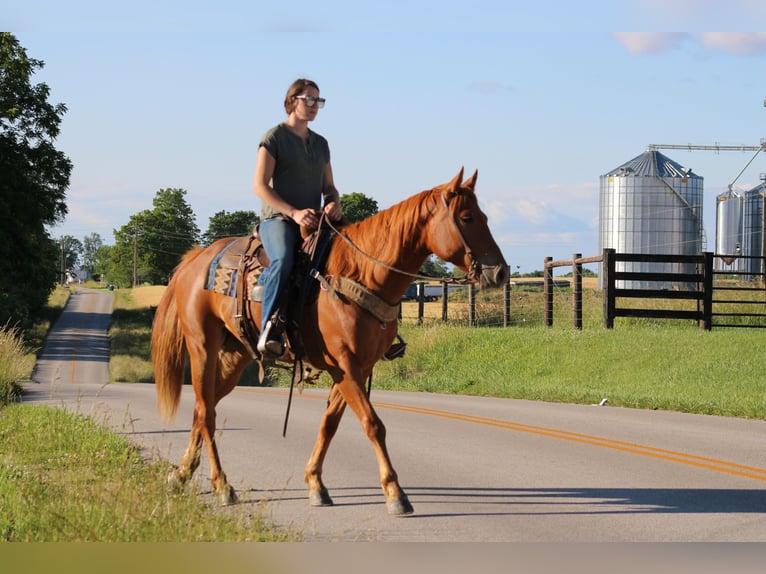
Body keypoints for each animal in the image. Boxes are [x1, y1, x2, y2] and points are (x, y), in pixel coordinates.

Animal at [150, 166, 510, 516]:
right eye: (467, 217)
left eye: (485, 216)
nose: (501, 273)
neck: (362, 274)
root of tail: (195, 260)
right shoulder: (346, 365)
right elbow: (373, 424)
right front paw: (395, 493)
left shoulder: (356, 367)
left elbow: (330, 424)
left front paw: (315, 484)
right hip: (202, 347)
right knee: (205, 412)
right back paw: (222, 485)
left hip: (234, 356)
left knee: (203, 408)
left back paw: (181, 474)